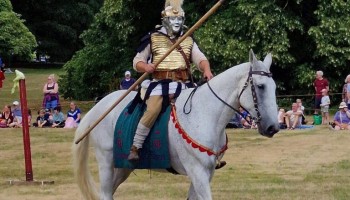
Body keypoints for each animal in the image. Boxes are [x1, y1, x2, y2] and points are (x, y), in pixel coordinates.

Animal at [73, 49, 278, 198]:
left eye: (274, 87)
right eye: (260, 86)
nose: (273, 127)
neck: (206, 112)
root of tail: (97, 109)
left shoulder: (206, 173)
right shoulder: (197, 172)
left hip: (123, 167)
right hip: (106, 162)